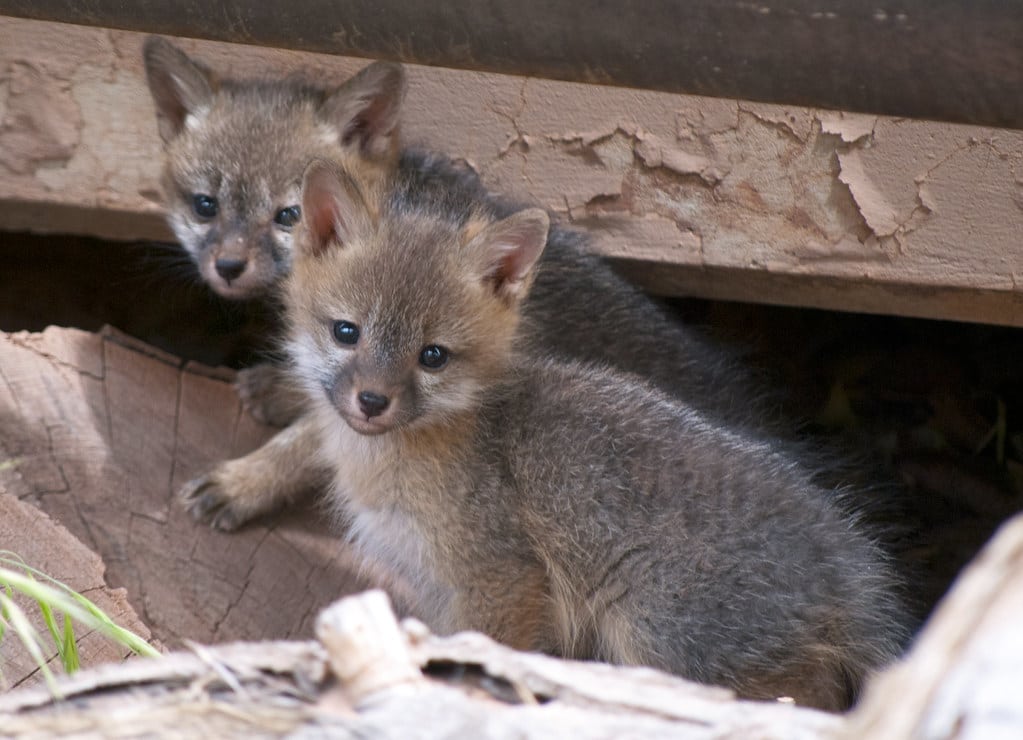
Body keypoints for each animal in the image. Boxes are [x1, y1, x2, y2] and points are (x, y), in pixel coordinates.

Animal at [281, 157, 908, 711]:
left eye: (433, 356)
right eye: (346, 332)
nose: (371, 402)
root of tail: (847, 560)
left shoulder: (501, 579)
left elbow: (486, 653)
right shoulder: (434, 586)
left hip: (655, 634)